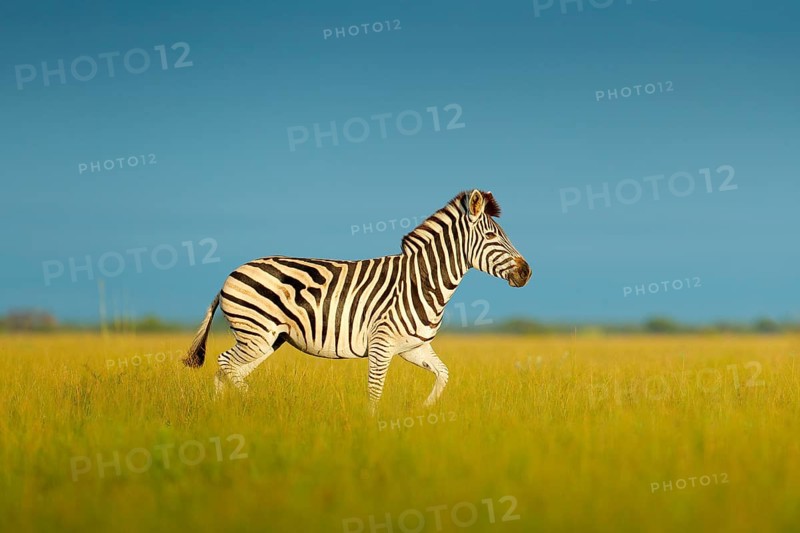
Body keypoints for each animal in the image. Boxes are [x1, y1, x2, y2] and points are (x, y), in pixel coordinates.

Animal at [184, 189, 531, 412]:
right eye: (492, 236)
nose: (526, 272)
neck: (423, 282)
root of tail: (231, 273)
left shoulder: (414, 347)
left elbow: (443, 375)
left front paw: (423, 410)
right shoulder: (381, 344)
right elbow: (375, 392)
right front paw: (373, 430)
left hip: (267, 339)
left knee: (228, 371)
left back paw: (224, 417)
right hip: (256, 334)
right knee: (225, 364)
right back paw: (255, 404)